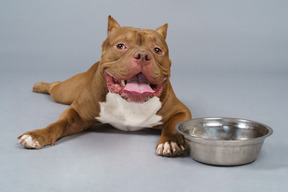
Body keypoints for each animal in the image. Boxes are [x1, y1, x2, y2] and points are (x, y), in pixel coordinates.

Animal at [18, 16, 191, 156]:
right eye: (121, 46)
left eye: (157, 50)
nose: (143, 55)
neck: (130, 103)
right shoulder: (77, 114)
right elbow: (58, 124)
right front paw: (37, 135)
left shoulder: (182, 111)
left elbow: (171, 125)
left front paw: (170, 142)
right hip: (64, 93)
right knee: (55, 86)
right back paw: (39, 86)